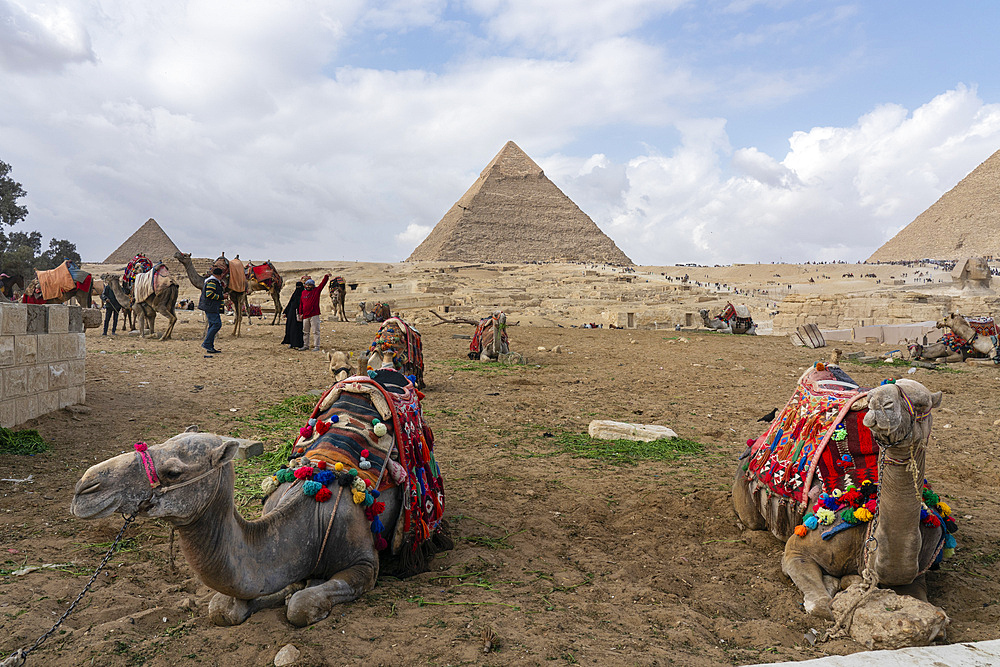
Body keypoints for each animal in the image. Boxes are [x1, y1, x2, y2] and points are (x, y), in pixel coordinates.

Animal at [732, 376, 948, 620]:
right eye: (871, 399)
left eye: (921, 404)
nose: (880, 404)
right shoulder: (797, 549)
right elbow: (821, 605)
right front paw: (835, 584)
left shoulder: (919, 572)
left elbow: (932, 608)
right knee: (750, 520)